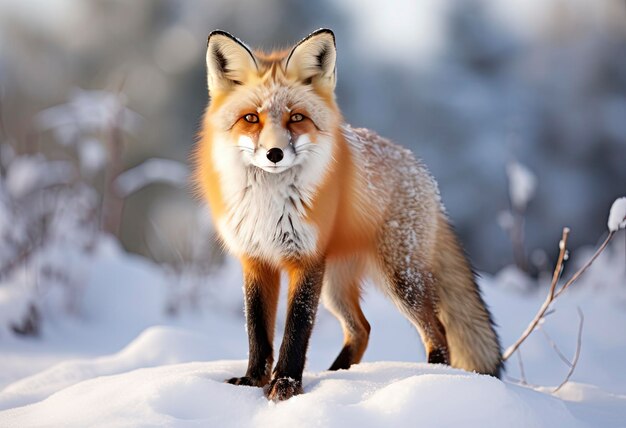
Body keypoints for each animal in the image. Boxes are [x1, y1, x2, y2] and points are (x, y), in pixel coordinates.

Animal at [193, 28, 500, 400]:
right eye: (251, 118)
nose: (274, 153)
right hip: (336, 286)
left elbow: (297, 328)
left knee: (436, 329)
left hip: (400, 281)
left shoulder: (306, 259)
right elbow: (257, 331)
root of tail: (420, 170)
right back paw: (339, 374)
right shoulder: (256, 259)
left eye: (297, 117)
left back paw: (428, 376)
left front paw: (287, 384)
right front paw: (253, 381)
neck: (269, 204)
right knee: (362, 329)